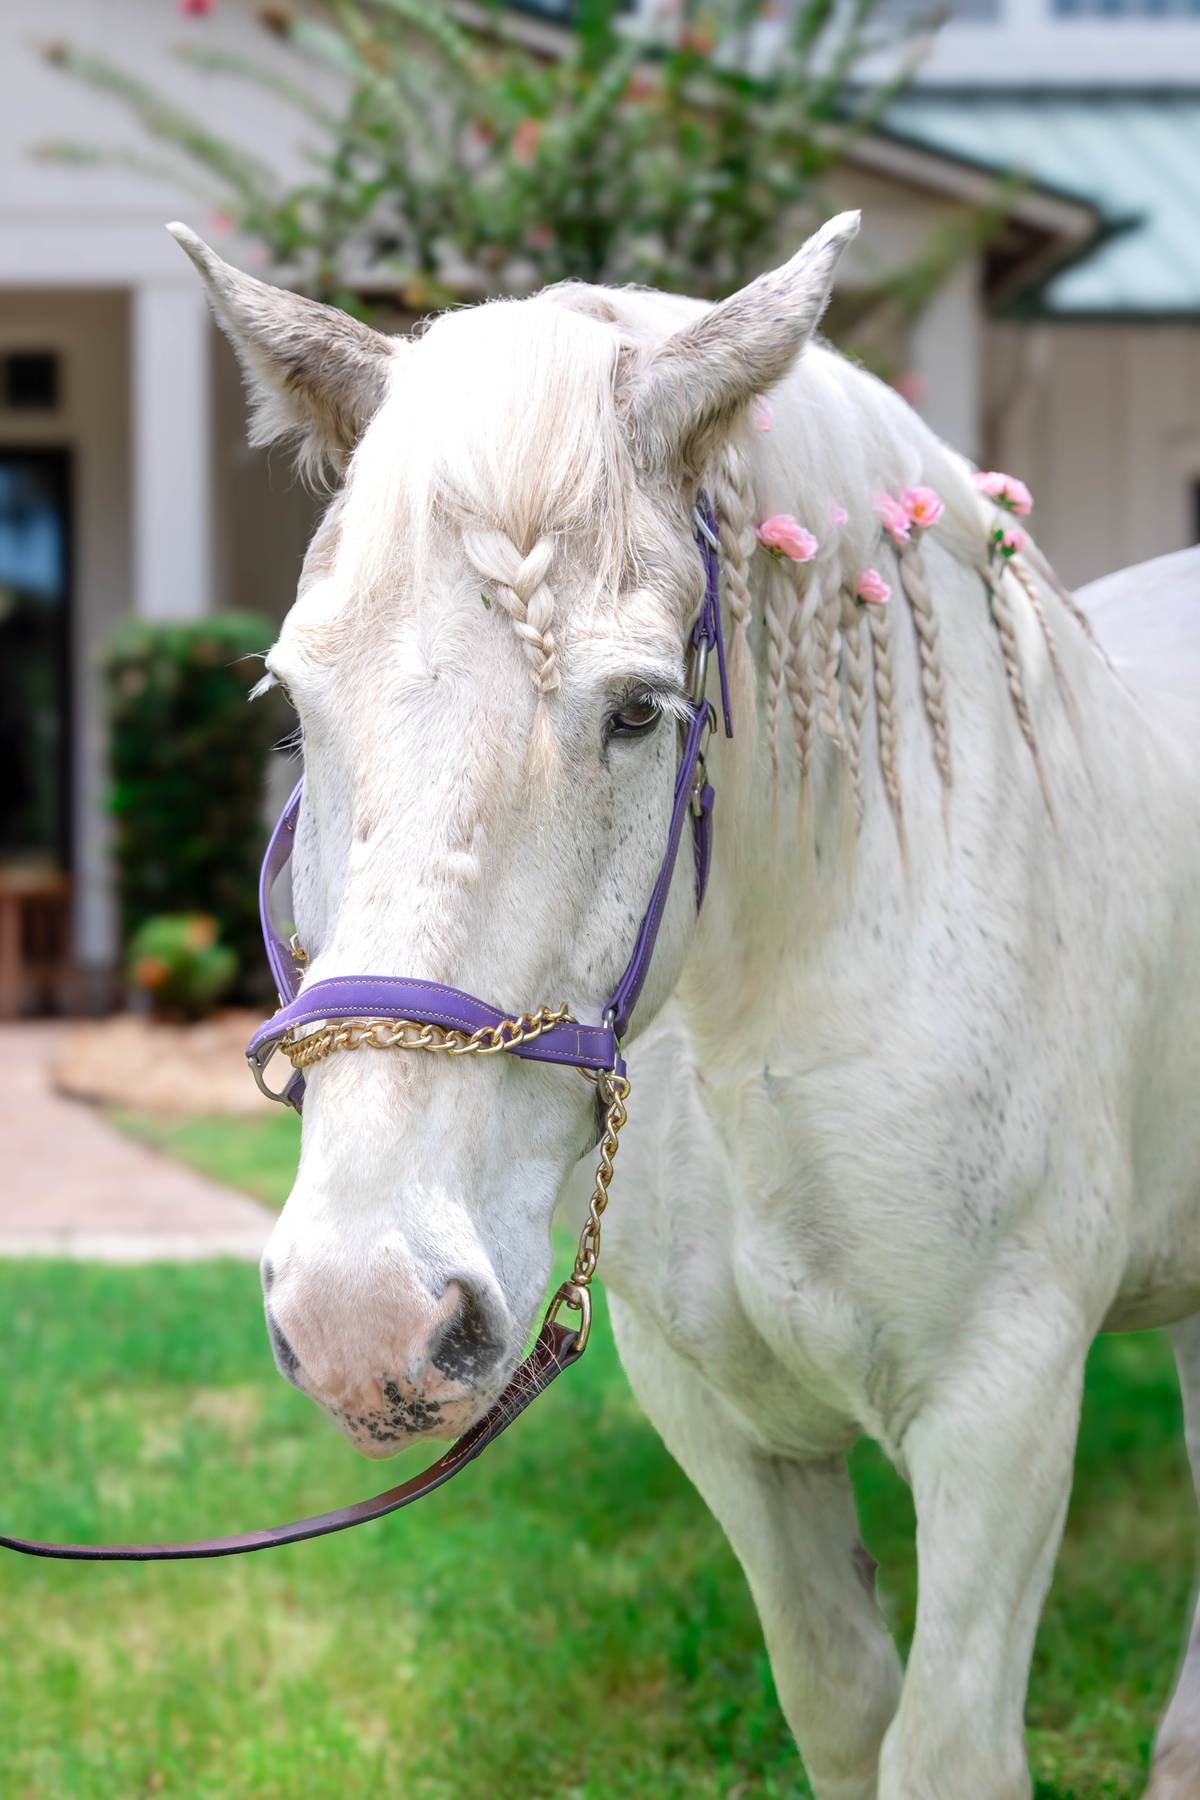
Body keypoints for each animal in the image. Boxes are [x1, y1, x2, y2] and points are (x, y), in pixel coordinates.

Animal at [171, 212, 1200, 1800]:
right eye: (290, 700)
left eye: (640, 710)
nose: (365, 1319)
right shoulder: (723, 1425)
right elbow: (843, 1706)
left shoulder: (1002, 1415)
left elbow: (942, 1749)